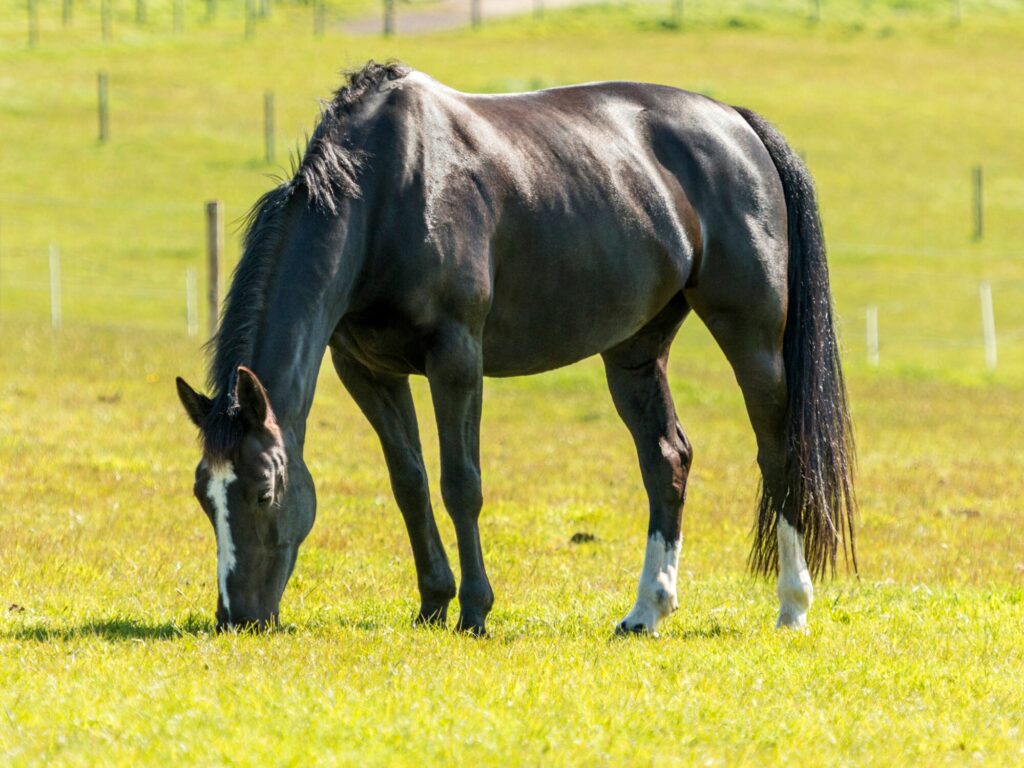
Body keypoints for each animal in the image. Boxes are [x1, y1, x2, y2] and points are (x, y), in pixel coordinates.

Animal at [175, 61, 856, 636]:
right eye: (205, 496)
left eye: (264, 490)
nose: (236, 617)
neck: (387, 192)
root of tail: (738, 124)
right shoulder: (366, 370)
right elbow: (409, 482)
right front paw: (433, 602)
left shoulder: (456, 359)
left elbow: (460, 484)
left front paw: (474, 611)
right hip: (635, 350)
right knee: (667, 459)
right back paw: (646, 612)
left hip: (752, 336)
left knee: (780, 455)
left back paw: (792, 607)